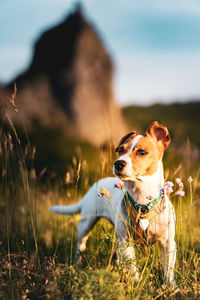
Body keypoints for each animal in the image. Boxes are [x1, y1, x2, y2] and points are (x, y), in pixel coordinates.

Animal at [50, 120, 177, 284]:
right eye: (119, 150)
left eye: (142, 152)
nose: (118, 163)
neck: (143, 202)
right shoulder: (126, 241)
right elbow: (132, 267)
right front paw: (136, 283)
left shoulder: (168, 244)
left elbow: (168, 270)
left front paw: (170, 286)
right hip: (86, 224)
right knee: (80, 246)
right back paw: (77, 264)